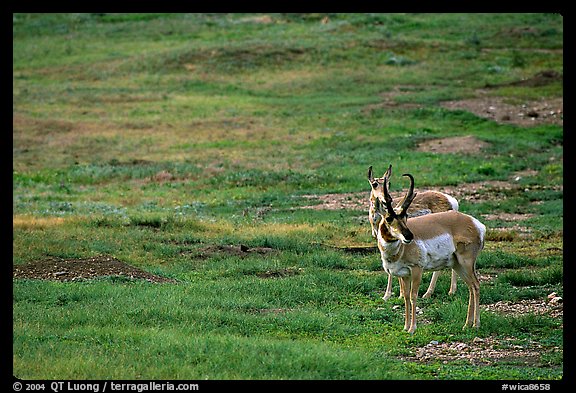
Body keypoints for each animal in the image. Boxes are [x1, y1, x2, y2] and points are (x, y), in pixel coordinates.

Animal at [368, 166, 460, 300]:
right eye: (374, 184)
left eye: (388, 183)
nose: (387, 199)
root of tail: (452, 200)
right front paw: (390, 295)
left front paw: (396, 295)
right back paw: (451, 291)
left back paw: (430, 293)